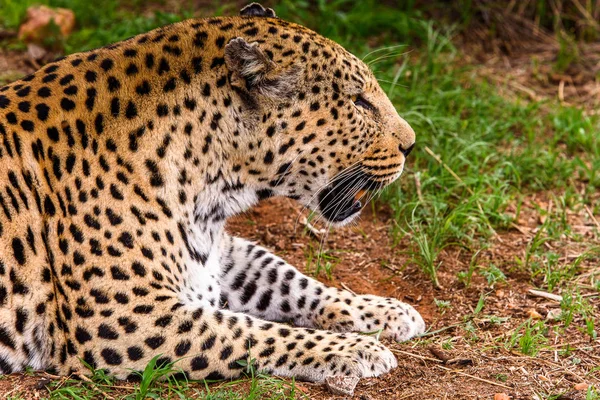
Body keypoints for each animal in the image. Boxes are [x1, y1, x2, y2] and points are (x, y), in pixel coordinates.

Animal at [0, 3, 422, 382]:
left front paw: (386, 311)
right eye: (359, 102)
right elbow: (251, 331)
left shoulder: (214, 253)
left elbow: (288, 278)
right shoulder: (125, 318)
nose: (412, 144)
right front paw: (357, 349)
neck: (209, 188)